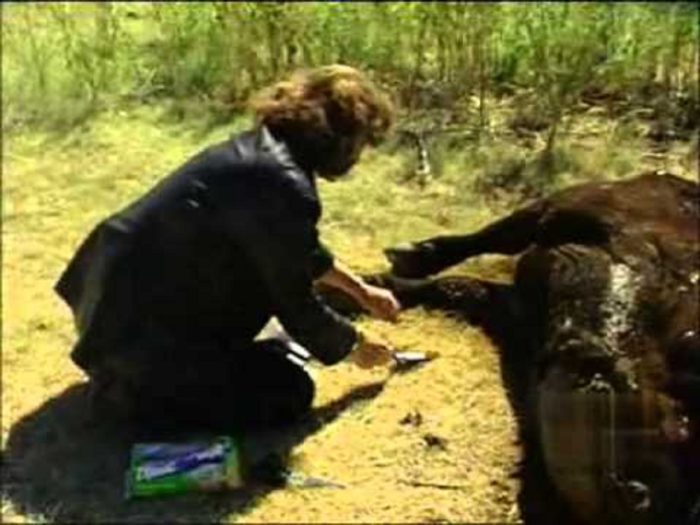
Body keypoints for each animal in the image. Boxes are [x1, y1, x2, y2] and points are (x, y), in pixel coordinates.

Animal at [324, 172, 700, 524]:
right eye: (681, 424)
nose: (645, 498)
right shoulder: (577, 208)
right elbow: (489, 241)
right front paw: (354, 285)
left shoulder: (518, 310)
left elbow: (456, 287)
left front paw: (348, 292)